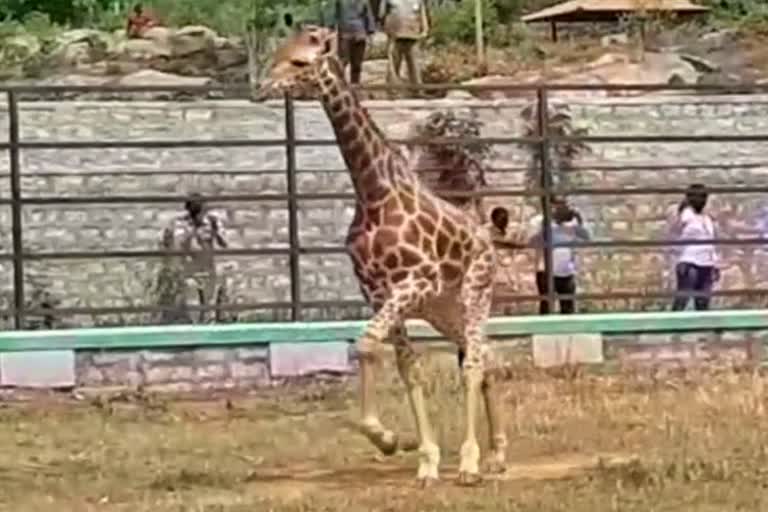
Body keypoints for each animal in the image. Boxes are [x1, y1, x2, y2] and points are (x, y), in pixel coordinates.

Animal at [258, 25, 516, 488]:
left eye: (301, 62)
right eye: (278, 53)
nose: (262, 87)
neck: (374, 193)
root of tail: (488, 235)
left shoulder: (416, 281)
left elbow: (365, 343)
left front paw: (390, 438)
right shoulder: (378, 291)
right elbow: (406, 366)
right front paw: (422, 456)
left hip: (474, 292)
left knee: (473, 362)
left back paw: (471, 463)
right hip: (442, 309)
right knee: (490, 357)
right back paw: (497, 455)